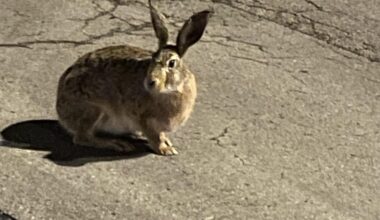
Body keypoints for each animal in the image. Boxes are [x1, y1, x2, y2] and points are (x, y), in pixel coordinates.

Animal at [55, 0, 211, 156]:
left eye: (171, 63)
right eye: (152, 58)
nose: (150, 82)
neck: (170, 91)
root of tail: (60, 109)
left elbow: (160, 134)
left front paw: (167, 142)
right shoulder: (144, 119)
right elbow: (154, 136)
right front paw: (165, 149)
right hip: (93, 109)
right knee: (82, 137)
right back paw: (118, 144)